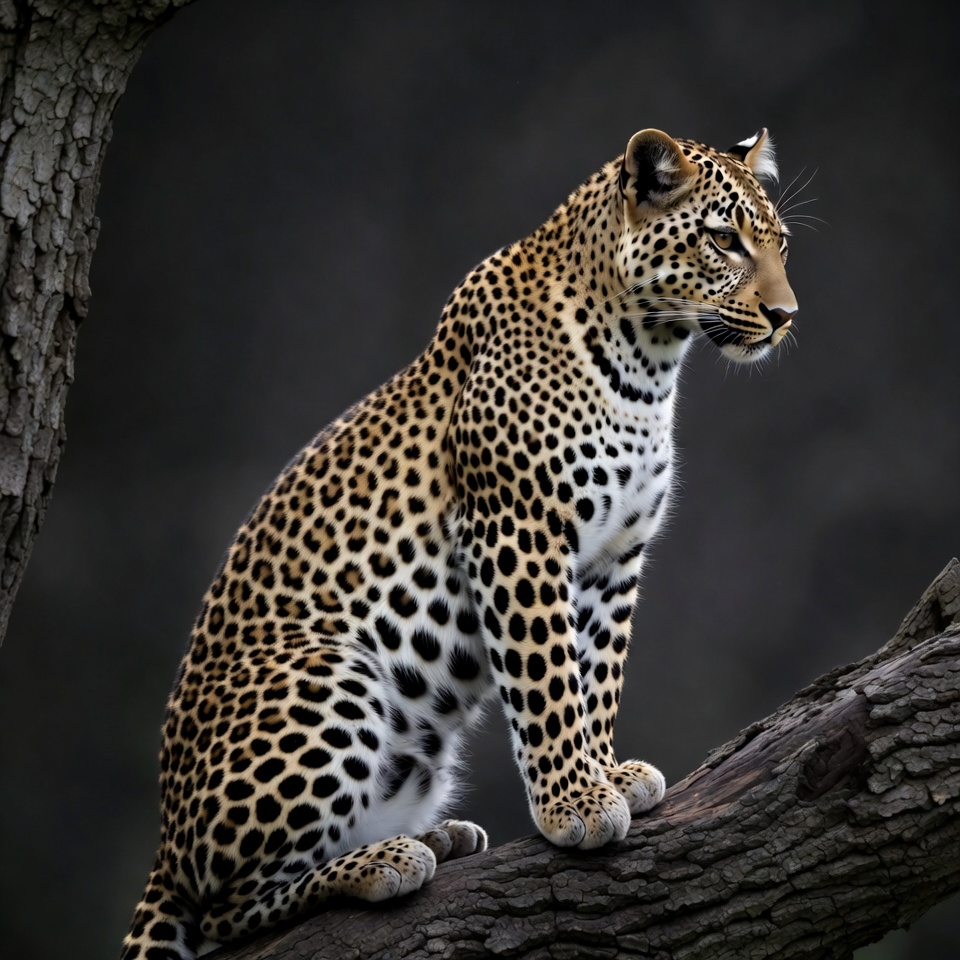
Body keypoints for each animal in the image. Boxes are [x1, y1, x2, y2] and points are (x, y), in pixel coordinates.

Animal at [121, 127, 797, 958]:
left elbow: (598, 674)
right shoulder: (517, 529)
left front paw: (606, 772)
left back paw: (430, 839)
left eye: (781, 245)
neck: (649, 361)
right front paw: (575, 803)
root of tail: (166, 844)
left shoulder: (616, 558)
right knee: (224, 911)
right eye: (724, 240)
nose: (786, 315)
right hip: (329, 671)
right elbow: (548, 676)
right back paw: (383, 863)